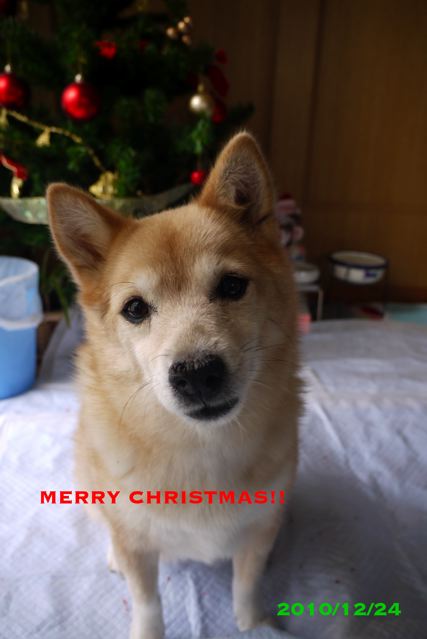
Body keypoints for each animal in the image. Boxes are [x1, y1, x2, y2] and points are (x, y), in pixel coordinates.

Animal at [47, 131, 301, 639]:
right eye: (135, 309)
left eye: (231, 286)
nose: (196, 372)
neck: (200, 448)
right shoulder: (136, 543)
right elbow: (147, 603)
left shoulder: (260, 527)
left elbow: (247, 584)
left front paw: (255, 625)